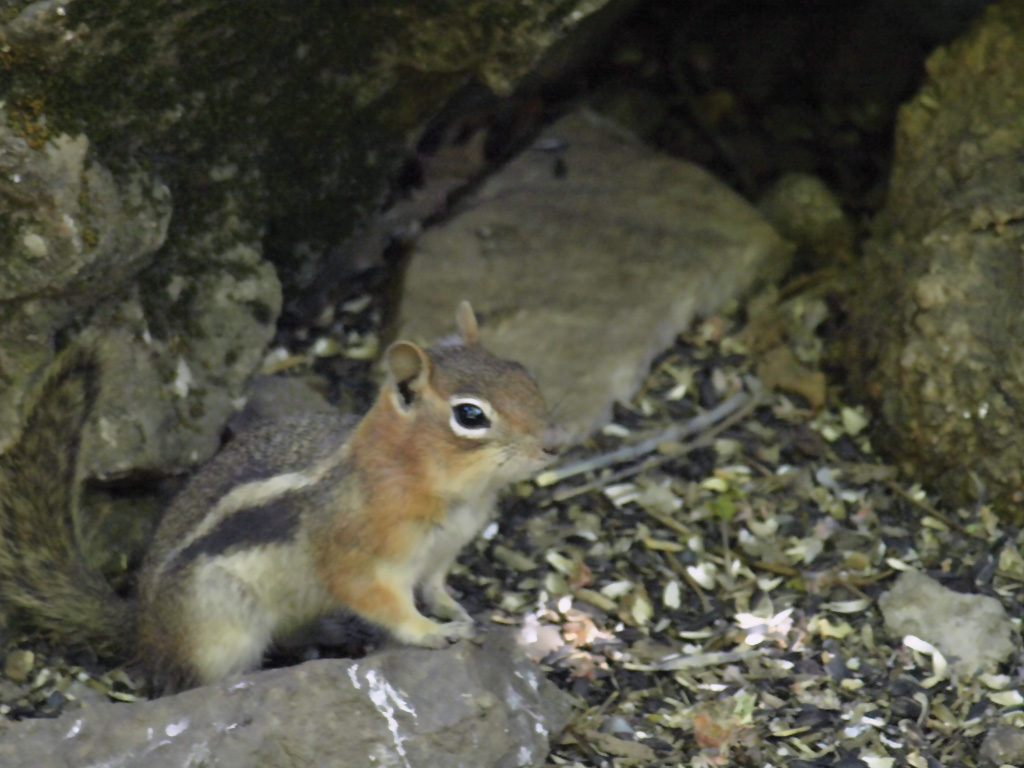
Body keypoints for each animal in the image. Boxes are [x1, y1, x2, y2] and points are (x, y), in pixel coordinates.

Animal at [0, 301, 556, 693]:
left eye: (524, 372)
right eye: (470, 415)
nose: (554, 443)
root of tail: (143, 624)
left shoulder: (442, 552)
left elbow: (438, 588)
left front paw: (459, 611)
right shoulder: (355, 555)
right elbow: (383, 602)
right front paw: (431, 632)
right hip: (220, 626)